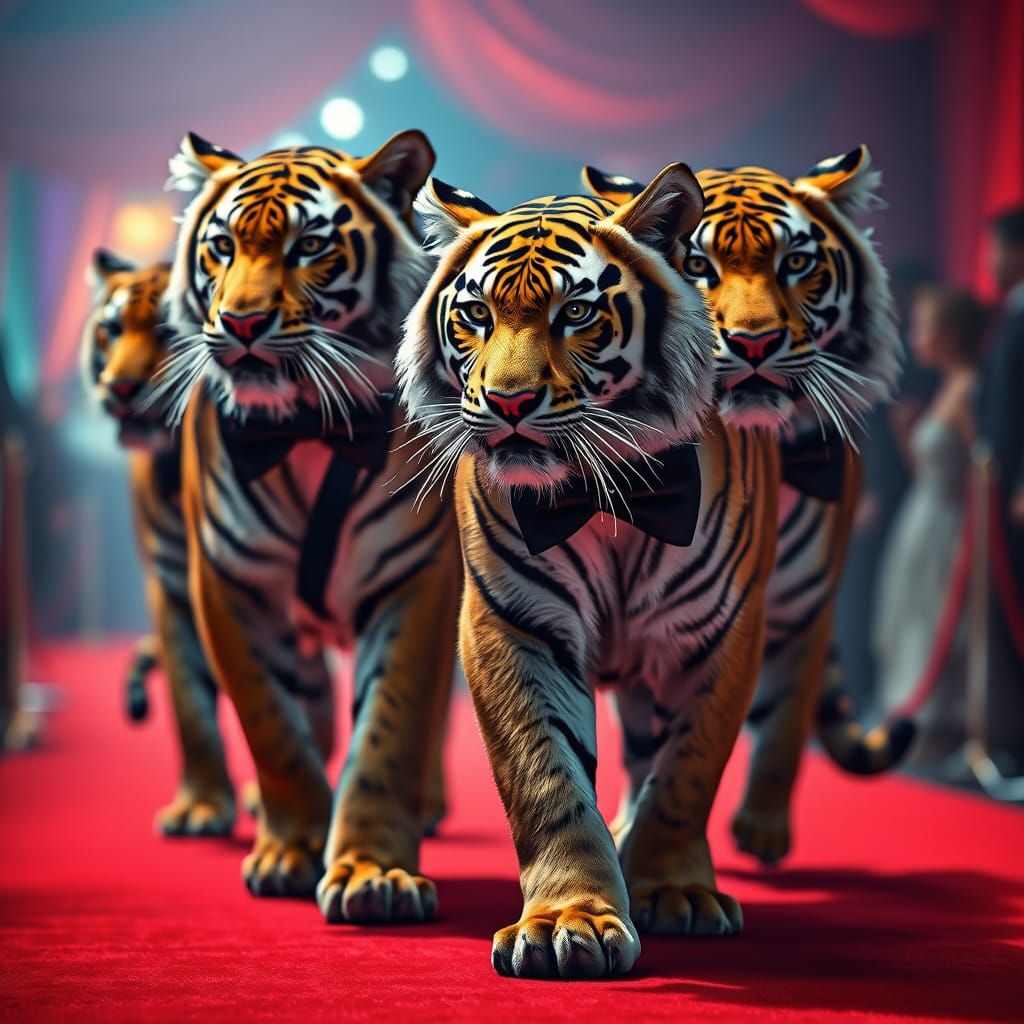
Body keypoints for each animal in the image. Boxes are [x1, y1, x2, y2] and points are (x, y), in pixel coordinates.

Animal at [81, 250, 238, 836]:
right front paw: (203, 804)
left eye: (169, 331)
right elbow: (189, 700)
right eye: (111, 330)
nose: (121, 388)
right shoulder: (170, 584)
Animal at [161, 130, 460, 920]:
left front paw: (372, 870)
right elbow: (273, 728)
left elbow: (391, 730)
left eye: (308, 247)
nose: (241, 323)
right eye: (223, 247)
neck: (301, 430)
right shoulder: (227, 584)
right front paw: (292, 847)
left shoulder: (417, 578)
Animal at [397, 166, 781, 978]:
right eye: (476, 314)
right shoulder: (513, 624)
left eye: (575, 312)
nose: (508, 402)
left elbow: (686, 769)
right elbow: (547, 777)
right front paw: (566, 919)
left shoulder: (722, 632)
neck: (605, 499)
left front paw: (673, 888)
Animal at [583, 145, 914, 866]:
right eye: (697, 265)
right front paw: (636, 831)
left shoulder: (803, 609)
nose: (753, 341)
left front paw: (761, 829)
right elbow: (649, 742)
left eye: (796, 263)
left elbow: (784, 721)